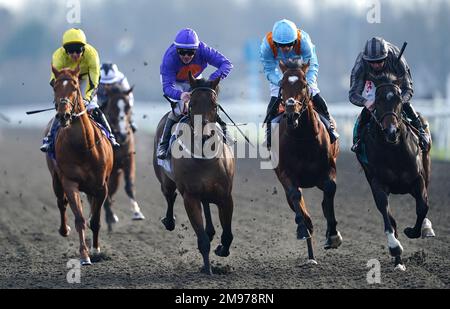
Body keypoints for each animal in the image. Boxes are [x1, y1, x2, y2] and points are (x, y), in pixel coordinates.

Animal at [44, 65, 113, 264]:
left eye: (75, 86)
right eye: (54, 86)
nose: (63, 115)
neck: (84, 147)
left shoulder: (101, 186)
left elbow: (95, 221)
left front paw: (96, 249)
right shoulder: (69, 182)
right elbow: (80, 219)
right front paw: (84, 254)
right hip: (56, 179)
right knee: (61, 202)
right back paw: (64, 229)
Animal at [101, 85, 145, 231]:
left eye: (128, 107)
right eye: (112, 107)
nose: (123, 134)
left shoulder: (128, 160)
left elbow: (129, 186)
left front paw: (137, 212)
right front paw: (110, 216)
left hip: (116, 175)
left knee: (111, 190)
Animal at [153, 73, 236, 274]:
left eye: (214, 105)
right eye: (191, 104)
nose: (204, 134)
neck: (204, 157)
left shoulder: (225, 196)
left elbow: (228, 234)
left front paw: (221, 249)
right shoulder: (190, 198)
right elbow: (203, 241)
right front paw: (207, 269)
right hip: (166, 181)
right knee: (170, 196)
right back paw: (169, 221)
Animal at [272, 59, 342, 264]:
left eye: (304, 84)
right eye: (282, 84)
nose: (291, 113)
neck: (302, 138)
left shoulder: (328, 170)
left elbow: (330, 190)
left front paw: (332, 235)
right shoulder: (286, 174)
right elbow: (296, 196)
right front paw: (304, 228)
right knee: (296, 203)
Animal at [356, 72, 434, 270]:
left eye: (399, 99)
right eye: (378, 100)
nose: (391, 131)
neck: (394, 150)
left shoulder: (417, 179)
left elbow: (423, 207)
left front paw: (414, 230)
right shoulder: (377, 183)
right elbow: (385, 212)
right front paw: (395, 248)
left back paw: (426, 227)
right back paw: (398, 261)